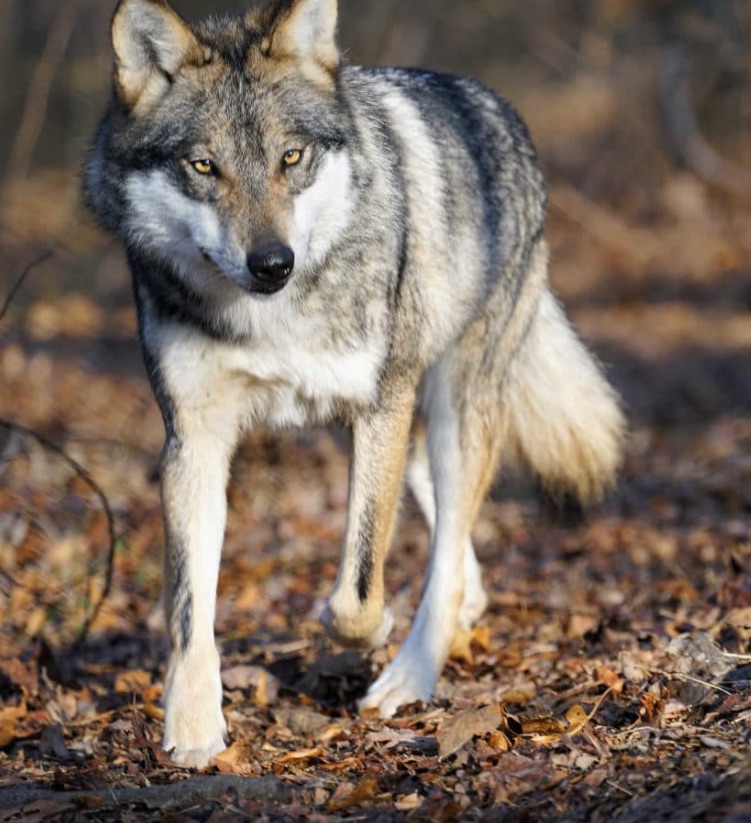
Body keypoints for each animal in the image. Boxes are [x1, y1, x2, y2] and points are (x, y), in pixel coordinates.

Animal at [85, 0, 624, 767]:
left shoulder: (378, 406)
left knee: (447, 537)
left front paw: (359, 629)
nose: (271, 263)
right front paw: (191, 731)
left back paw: (409, 675)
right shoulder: (193, 439)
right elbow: (189, 608)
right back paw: (462, 613)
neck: (271, 317)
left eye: (290, 157)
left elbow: (358, 588)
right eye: (203, 166)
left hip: (451, 404)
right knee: (445, 526)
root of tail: (490, 102)